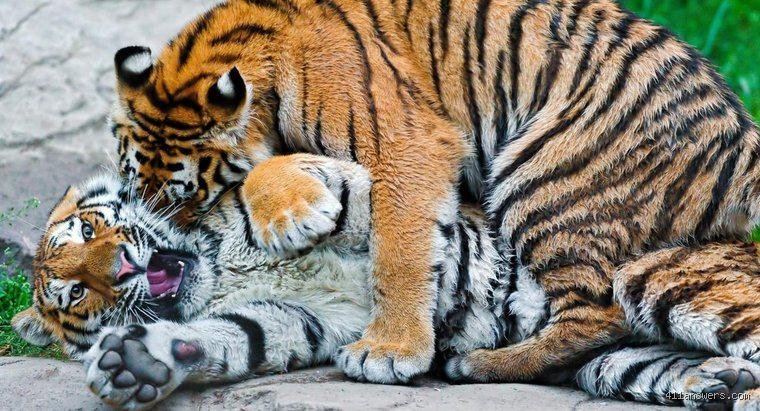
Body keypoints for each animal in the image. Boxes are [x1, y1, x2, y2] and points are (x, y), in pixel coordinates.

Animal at [13, 154, 760, 410]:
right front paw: (137, 362)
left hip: (658, 276)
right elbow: (228, 335)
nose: (120, 268)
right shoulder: (295, 318)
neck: (220, 271)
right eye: (77, 293)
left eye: (86, 230)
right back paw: (718, 382)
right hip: (614, 358)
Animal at [110, 0, 760, 385]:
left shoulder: (408, 144)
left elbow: (399, 252)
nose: (175, 245)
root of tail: (741, 137)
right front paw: (297, 213)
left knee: (596, 315)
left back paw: (479, 362)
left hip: (541, 181)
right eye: (137, 188)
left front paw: (389, 351)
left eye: (187, 197)